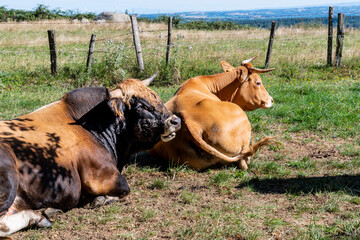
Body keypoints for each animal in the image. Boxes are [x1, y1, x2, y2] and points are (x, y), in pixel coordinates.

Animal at [0, 73, 180, 236]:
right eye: (142, 106)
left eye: (156, 97)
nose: (175, 121)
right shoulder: (100, 176)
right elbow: (125, 189)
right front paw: (102, 199)